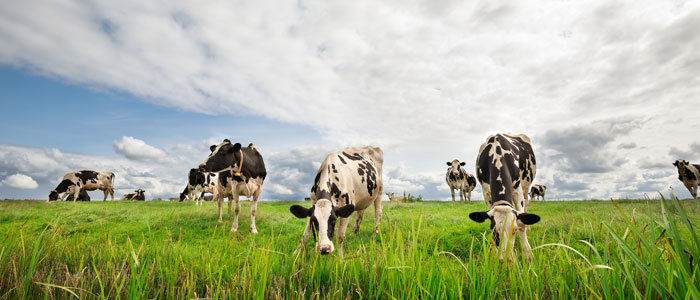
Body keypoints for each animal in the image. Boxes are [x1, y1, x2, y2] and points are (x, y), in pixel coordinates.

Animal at [470, 132, 540, 262]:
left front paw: (527, 254)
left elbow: (521, 222)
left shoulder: (517, 190)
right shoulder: (486, 193)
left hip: (526, 186)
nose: (506, 259)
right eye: (493, 230)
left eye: (514, 230)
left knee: (526, 207)